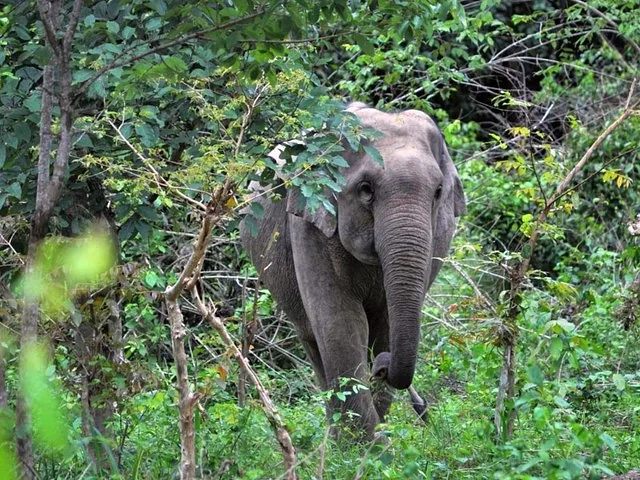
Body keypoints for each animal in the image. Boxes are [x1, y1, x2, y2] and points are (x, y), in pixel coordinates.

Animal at [240, 102, 466, 439]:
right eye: (365, 189)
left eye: (438, 191)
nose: (381, 368)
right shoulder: (310, 223)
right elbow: (341, 324)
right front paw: (366, 447)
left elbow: (385, 325)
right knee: (314, 341)